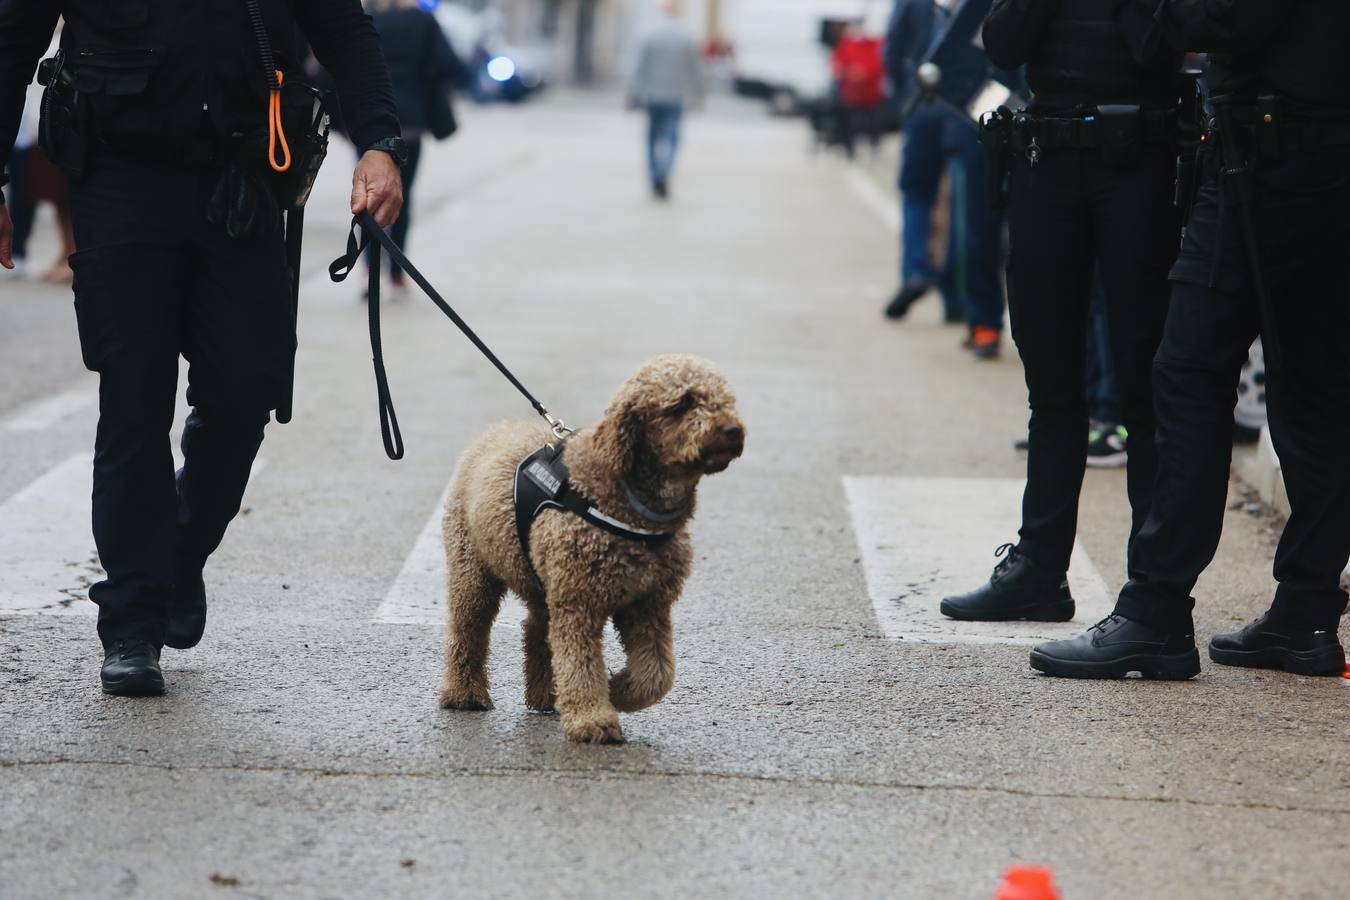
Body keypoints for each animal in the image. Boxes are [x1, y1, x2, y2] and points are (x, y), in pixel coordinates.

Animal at [437, 356, 745, 744]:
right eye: (682, 403)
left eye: (725, 399)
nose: (733, 430)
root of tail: (492, 432)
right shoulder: (579, 603)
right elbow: (580, 664)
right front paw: (592, 719)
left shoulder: (650, 605)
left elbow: (657, 675)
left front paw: (617, 691)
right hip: (474, 570)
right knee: (469, 630)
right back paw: (464, 693)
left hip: (543, 576)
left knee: (535, 629)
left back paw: (546, 695)